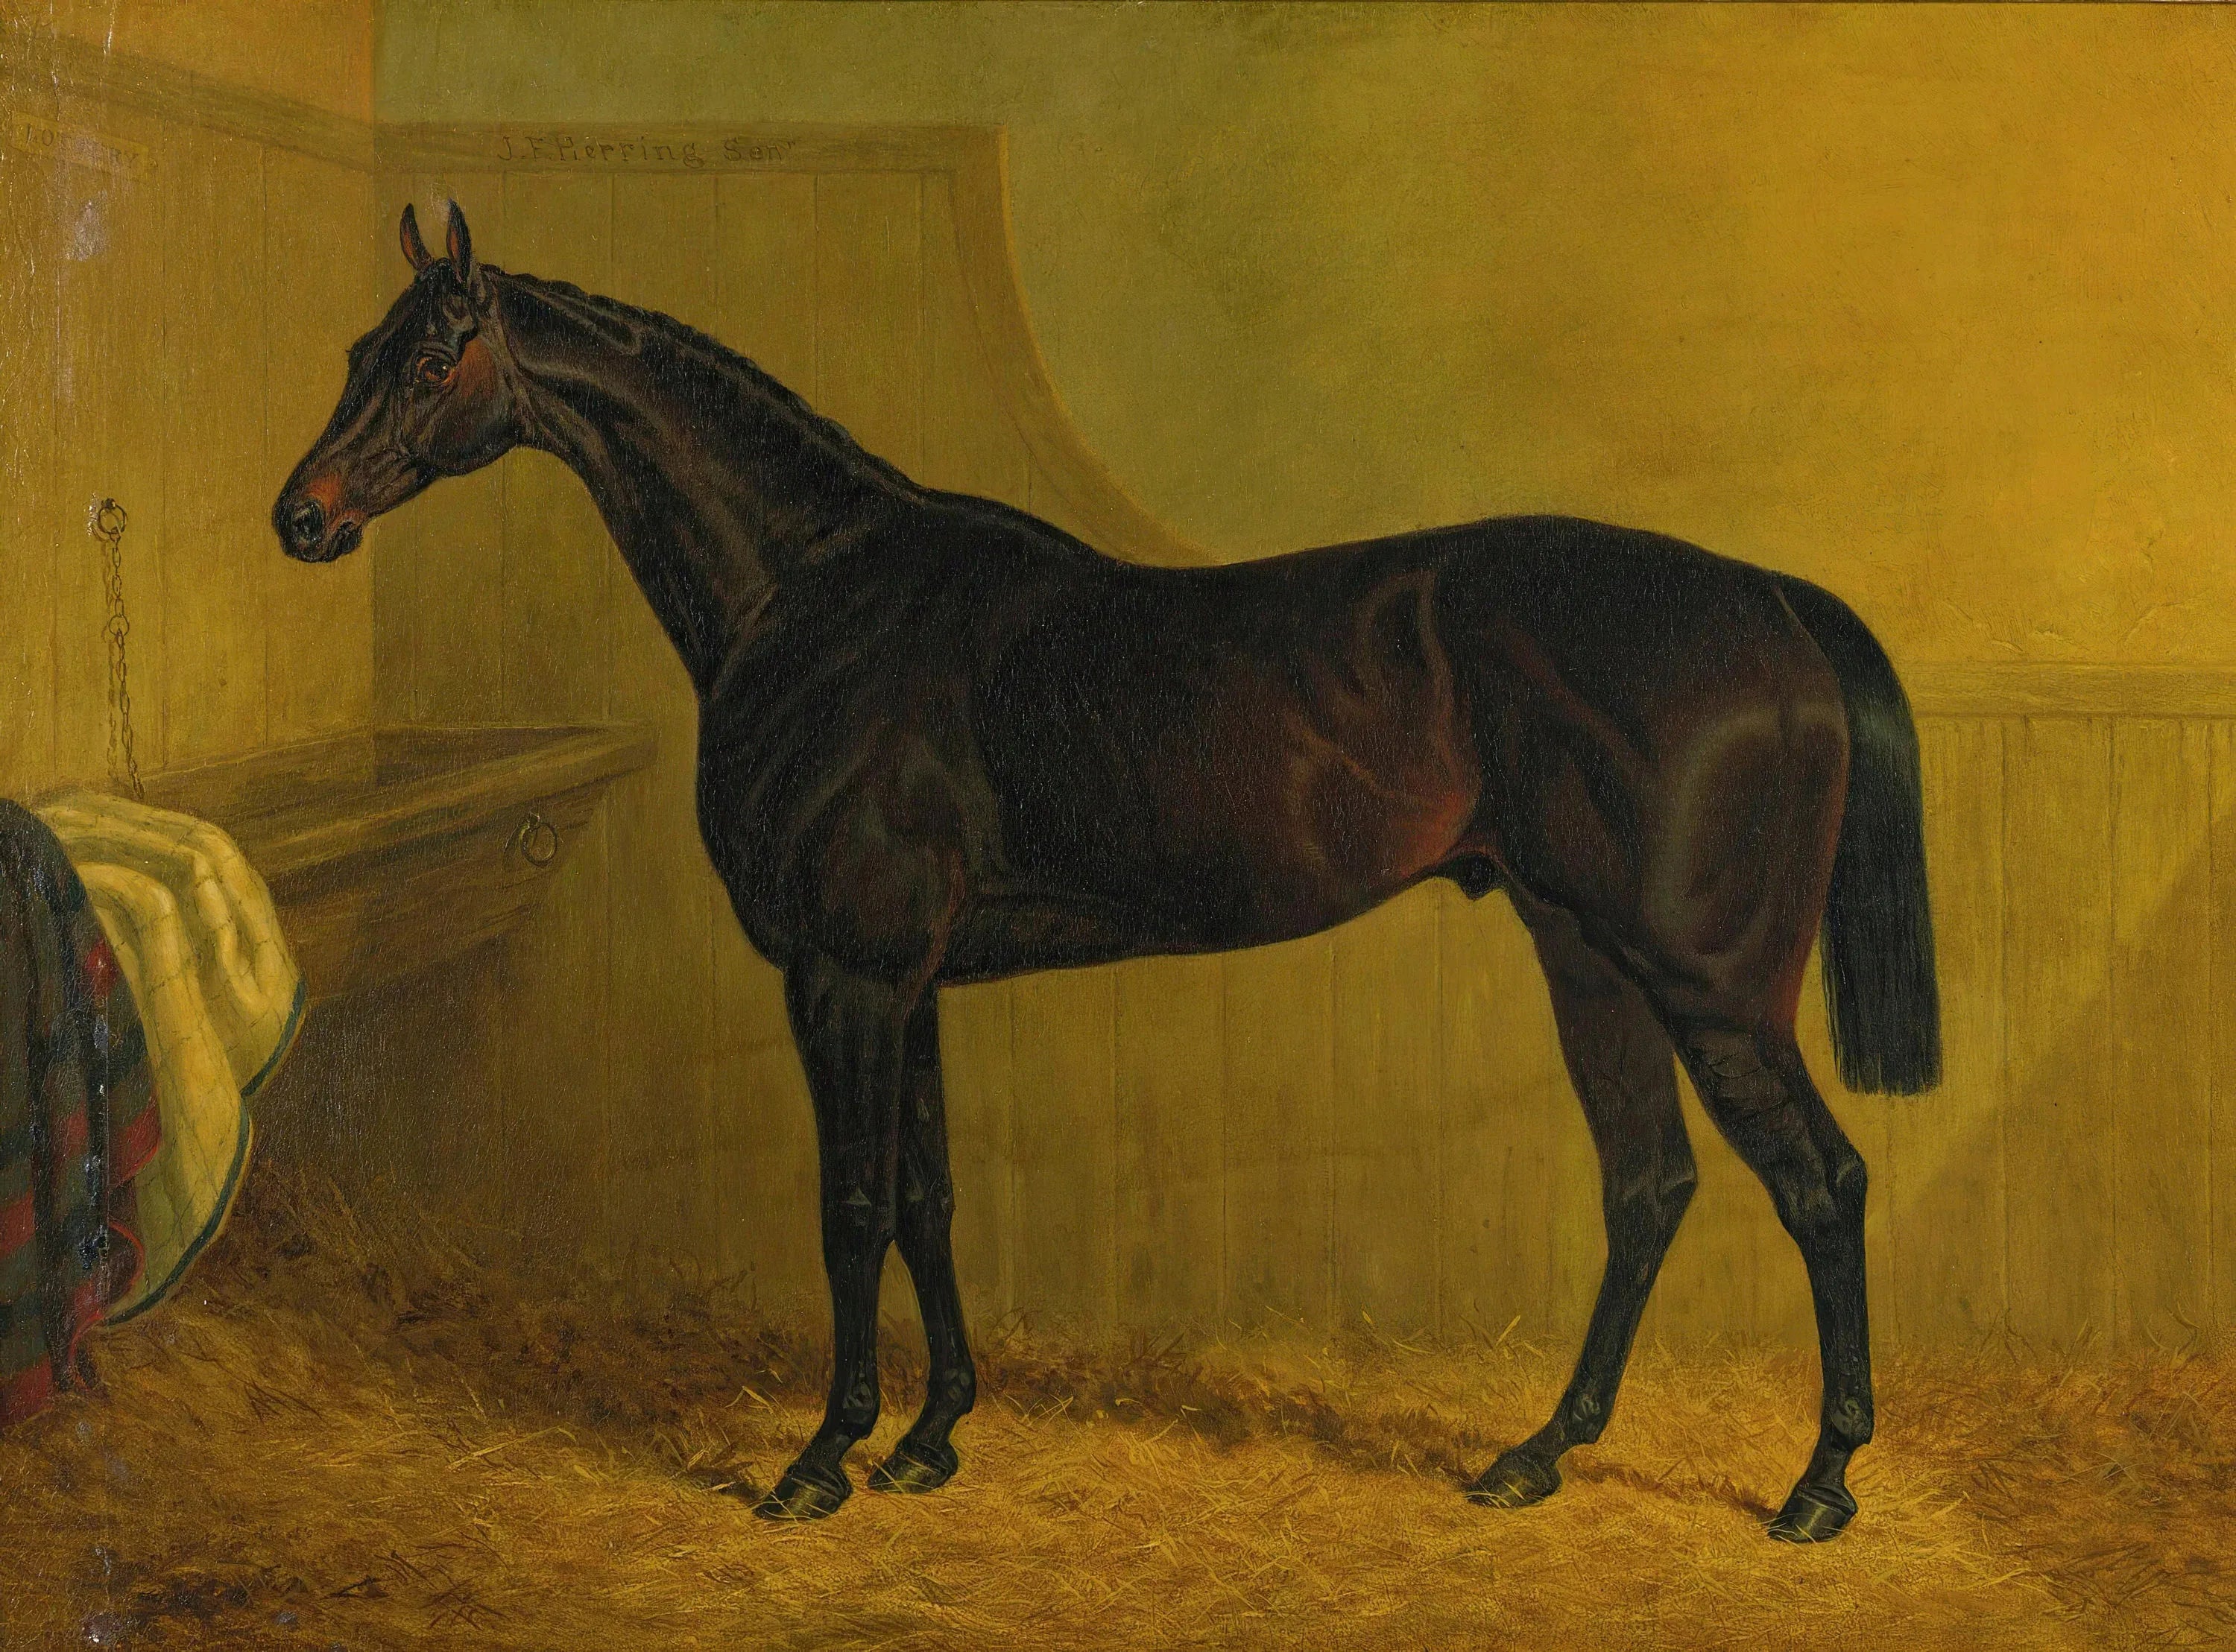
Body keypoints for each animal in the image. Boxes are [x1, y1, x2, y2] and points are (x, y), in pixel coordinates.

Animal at [274, 202, 1940, 1542]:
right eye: (356, 348)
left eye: (432, 361)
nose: (302, 515)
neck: (813, 595)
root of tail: (1767, 603)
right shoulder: (912, 982)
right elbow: (934, 1195)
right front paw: (932, 1438)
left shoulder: (846, 974)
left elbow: (854, 1206)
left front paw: (821, 1459)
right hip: (1586, 955)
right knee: (1650, 1183)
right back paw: (1535, 1456)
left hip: (1708, 985)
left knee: (1822, 1182)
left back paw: (1817, 1486)